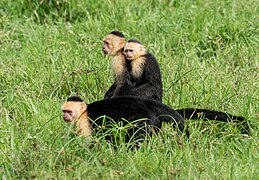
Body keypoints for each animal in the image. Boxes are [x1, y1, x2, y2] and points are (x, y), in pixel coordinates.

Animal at [61, 95, 191, 141]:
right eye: (64, 111)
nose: (65, 116)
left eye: (69, 112)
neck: (84, 112)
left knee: (137, 133)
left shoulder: (84, 121)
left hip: (145, 117)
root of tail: (146, 102)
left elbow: (88, 142)